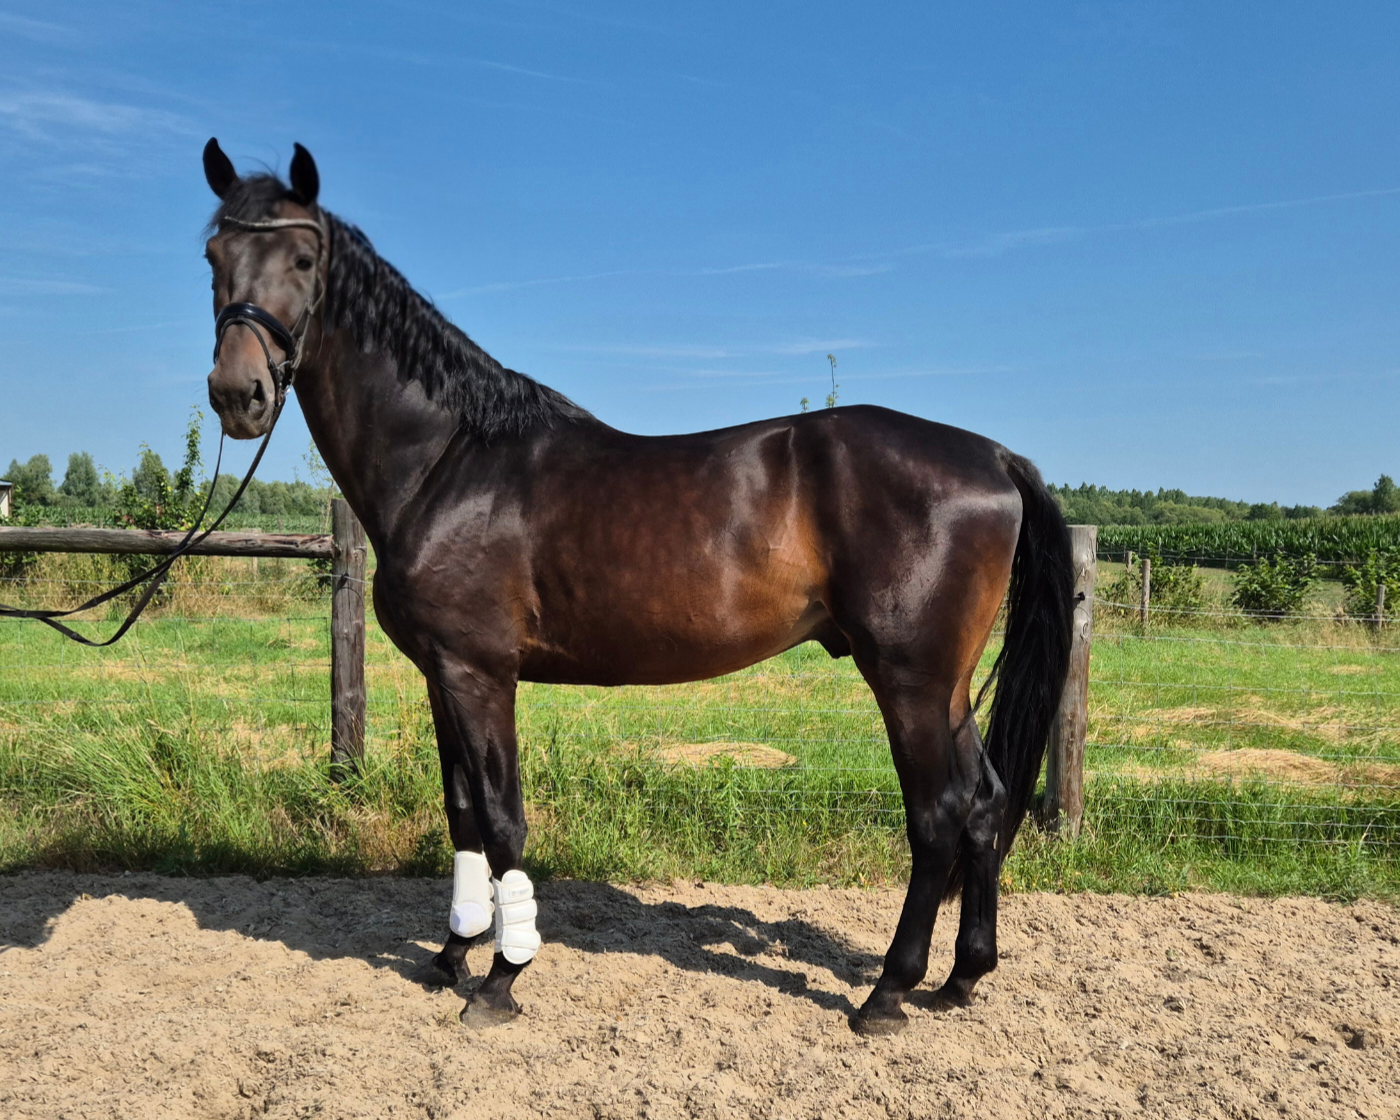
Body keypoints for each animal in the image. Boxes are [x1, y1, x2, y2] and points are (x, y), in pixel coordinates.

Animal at [198, 138, 1074, 1035]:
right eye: (213, 257)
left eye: (304, 259)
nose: (238, 395)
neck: (449, 462)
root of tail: (994, 456)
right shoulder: (444, 673)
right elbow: (463, 814)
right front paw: (452, 955)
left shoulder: (482, 674)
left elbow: (504, 821)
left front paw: (502, 978)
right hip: (949, 686)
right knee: (982, 804)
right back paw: (961, 977)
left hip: (909, 679)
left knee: (936, 817)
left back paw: (888, 993)